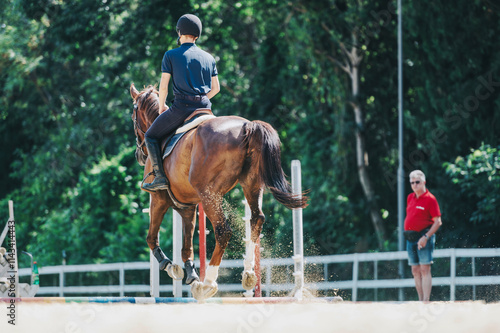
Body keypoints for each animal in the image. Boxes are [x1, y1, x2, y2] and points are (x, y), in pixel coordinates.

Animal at [131, 84, 306, 300]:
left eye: (133, 115)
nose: (139, 155)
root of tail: (247, 126)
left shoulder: (158, 199)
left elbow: (151, 238)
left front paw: (170, 266)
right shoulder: (188, 208)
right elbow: (187, 247)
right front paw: (191, 276)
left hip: (209, 195)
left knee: (223, 231)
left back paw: (208, 283)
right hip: (251, 184)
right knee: (257, 219)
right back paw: (247, 273)